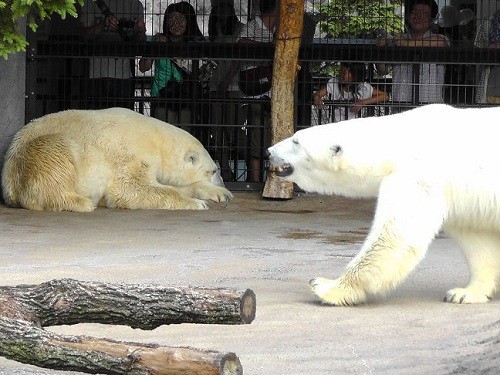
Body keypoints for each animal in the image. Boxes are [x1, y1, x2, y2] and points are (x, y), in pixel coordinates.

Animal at [1, 108, 233, 212]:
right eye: (213, 171)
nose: (223, 180)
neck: (157, 142)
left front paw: (221, 194)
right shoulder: (129, 153)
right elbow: (131, 189)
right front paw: (198, 203)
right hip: (39, 152)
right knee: (58, 155)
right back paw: (83, 202)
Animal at [268, 103, 500, 306]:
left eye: (296, 142)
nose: (269, 151)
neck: (398, 143)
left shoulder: (417, 175)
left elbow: (394, 235)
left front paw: (326, 286)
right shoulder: (463, 197)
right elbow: (476, 240)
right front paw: (464, 293)